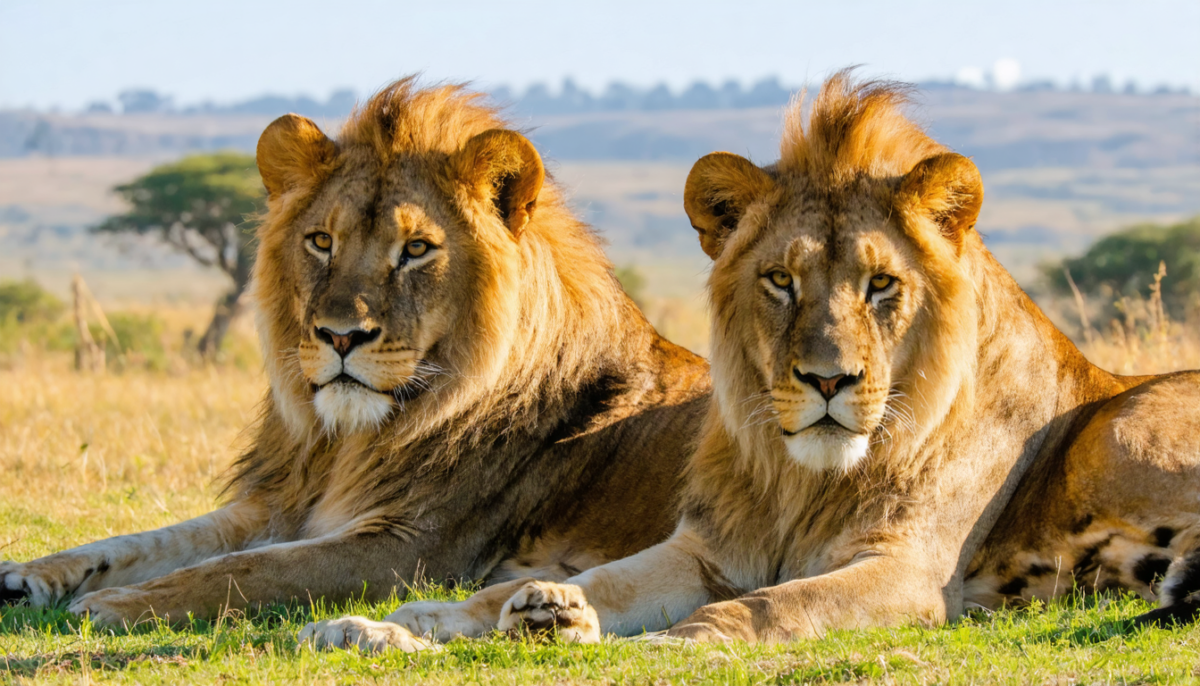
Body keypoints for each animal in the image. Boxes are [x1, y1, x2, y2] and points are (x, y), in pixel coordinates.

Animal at [0, 78, 709, 638]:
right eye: (321, 241)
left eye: (417, 249)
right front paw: (27, 576)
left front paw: (115, 604)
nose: (340, 336)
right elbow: (148, 539)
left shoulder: (413, 548)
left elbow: (250, 569)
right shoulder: (280, 503)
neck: (343, 441)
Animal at [311, 71, 1200, 650]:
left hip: (1119, 432)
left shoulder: (907, 570)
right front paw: (408, 624)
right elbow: (561, 584)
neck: (804, 476)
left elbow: (767, 608)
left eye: (882, 284)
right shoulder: (705, 551)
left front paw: (658, 644)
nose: (828, 381)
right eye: (781, 280)